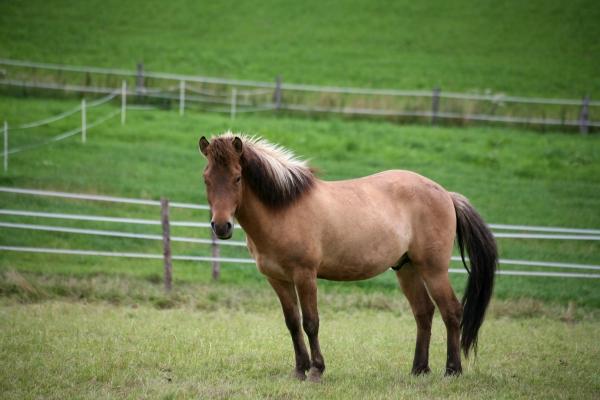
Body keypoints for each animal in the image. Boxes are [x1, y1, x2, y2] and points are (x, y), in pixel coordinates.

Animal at [197, 132, 496, 382]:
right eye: (206, 178)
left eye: (237, 178)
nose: (221, 226)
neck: (283, 209)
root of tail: (446, 194)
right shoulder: (277, 279)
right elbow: (292, 323)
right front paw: (299, 370)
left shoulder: (305, 275)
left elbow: (311, 322)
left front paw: (316, 370)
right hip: (406, 268)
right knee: (424, 313)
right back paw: (418, 370)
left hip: (433, 270)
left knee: (451, 311)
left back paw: (452, 371)